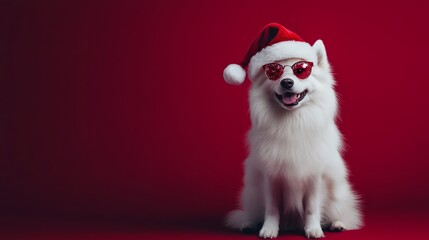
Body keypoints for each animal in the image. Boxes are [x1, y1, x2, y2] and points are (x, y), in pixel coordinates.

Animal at [224, 23, 362, 239]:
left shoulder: (314, 176)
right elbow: (272, 208)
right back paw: (249, 224)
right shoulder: (271, 176)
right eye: (274, 71)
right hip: (253, 196)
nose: (287, 82)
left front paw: (313, 229)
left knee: (344, 213)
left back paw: (337, 224)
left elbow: (312, 207)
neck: (292, 122)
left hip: (337, 196)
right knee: (251, 213)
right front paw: (269, 229)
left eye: (301, 70)